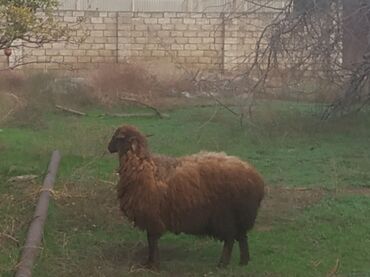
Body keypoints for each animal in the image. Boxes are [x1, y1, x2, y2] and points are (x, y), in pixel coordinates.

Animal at [107, 124, 266, 268]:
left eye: (117, 138)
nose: (108, 148)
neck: (141, 165)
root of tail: (256, 177)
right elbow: (152, 239)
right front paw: (151, 262)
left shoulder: (151, 216)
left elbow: (151, 240)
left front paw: (152, 263)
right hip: (240, 217)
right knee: (242, 238)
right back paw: (244, 262)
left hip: (226, 215)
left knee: (230, 239)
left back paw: (223, 263)